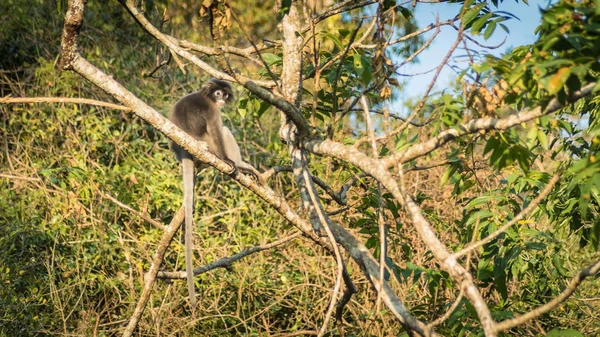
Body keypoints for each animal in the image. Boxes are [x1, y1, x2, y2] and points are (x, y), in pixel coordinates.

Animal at [170, 79, 262, 308]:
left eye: (225, 94)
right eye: (218, 93)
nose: (221, 98)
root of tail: (185, 149)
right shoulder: (212, 111)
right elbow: (217, 130)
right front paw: (230, 161)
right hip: (208, 145)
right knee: (223, 131)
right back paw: (239, 164)